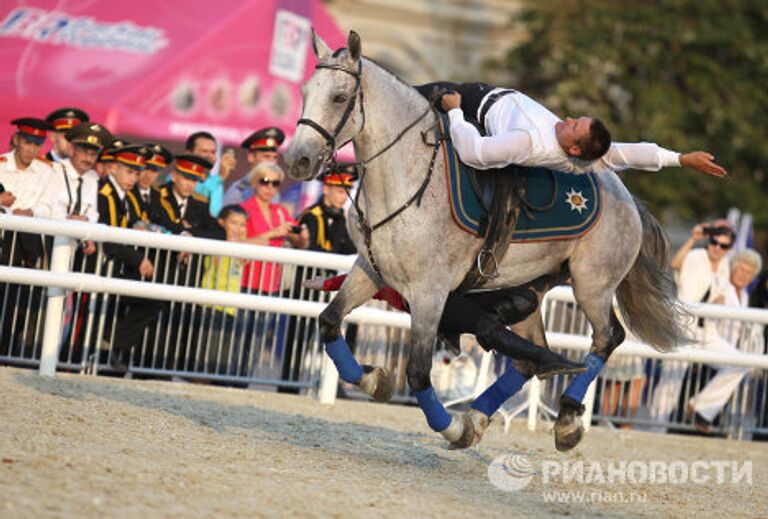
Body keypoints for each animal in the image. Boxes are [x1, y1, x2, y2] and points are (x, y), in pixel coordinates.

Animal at [284, 31, 688, 450]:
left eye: (339, 97)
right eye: (305, 91)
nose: (298, 160)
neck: (408, 179)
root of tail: (628, 198)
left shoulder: (430, 292)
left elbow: (418, 372)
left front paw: (450, 426)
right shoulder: (371, 270)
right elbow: (330, 322)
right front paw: (376, 380)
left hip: (593, 285)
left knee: (607, 338)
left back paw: (567, 418)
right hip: (532, 287)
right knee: (529, 356)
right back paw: (481, 416)